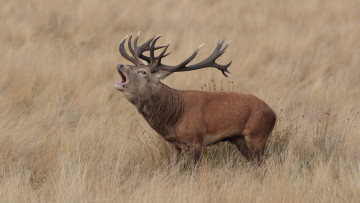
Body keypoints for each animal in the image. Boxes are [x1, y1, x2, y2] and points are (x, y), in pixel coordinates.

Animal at [114, 32, 276, 168]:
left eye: (143, 72)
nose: (120, 65)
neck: (174, 117)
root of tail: (273, 113)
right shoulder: (172, 144)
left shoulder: (196, 140)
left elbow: (194, 171)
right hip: (239, 139)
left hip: (258, 135)